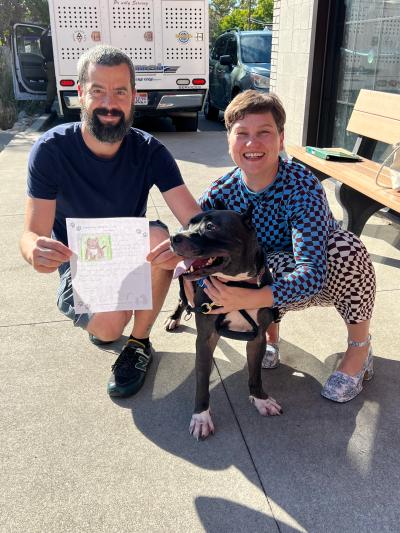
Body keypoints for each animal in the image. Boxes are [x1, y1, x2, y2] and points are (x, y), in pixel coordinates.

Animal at [167, 204, 282, 436]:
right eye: (190, 224)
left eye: (211, 227)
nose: (173, 236)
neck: (236, 283)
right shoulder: (205, 338)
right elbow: (202, 379)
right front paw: (201, 417)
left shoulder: (258, 338)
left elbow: (255, 375)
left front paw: (261, 400)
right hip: (183, 283)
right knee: (182, 299)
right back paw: (174, 317)